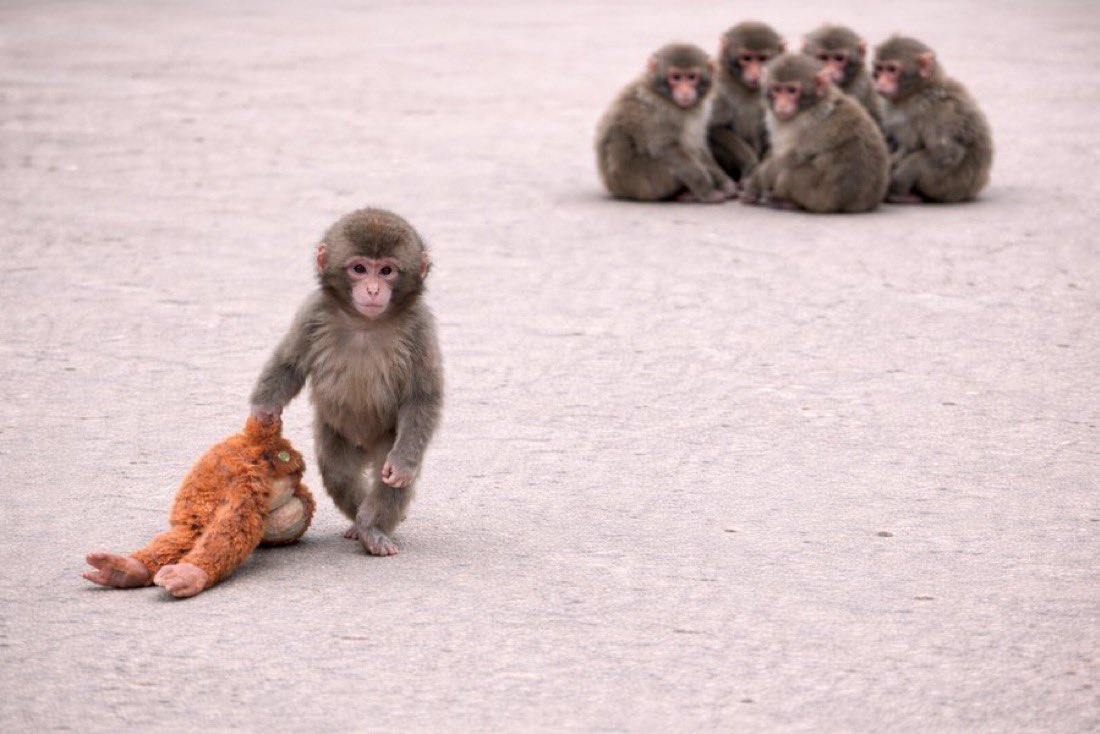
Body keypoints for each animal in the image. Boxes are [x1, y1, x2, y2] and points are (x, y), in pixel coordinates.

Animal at [250, 208, 443, 556]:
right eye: (359, 269)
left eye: (386, 271)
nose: (372, 289)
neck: (366, 322)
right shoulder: (312, 313)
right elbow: (289, 364)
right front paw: (264, 410)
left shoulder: (420, 327)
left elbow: (422, 398)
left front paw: (402, 465)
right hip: (337, 433)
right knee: (337, 473)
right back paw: (358, 520)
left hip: (386, 436)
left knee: (388, 479)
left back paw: (373, 528)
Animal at [595, 43, 737, 203]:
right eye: (676, 77)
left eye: (691, 77)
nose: (685, 91)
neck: (665, 95)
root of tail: (612, 187)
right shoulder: (660, 111)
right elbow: (665, 148)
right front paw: (706, 191)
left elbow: (699, 146)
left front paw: (725, 182)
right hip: (643, 184)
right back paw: (685, 194)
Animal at [708, 21, 785, 183]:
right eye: (747, 58)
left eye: (762, 59)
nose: (755, 73)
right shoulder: (718, 84)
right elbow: (714, 127)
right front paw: (750, 162)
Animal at [740, 53, 889, 213]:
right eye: (777, 89)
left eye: (791, 90)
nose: (782, 104)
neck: (812, 103)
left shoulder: (801, 124)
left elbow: (790, 159)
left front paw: (755, 184)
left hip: (819, 198)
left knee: (786, 175)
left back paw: (787, 202)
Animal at [872, 35, 993, 203]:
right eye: (880, 69)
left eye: (892, 69)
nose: (881, 82)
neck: (916, 92)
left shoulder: (936, 109)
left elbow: (947, 152)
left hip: (949, 185)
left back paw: (901, 193)